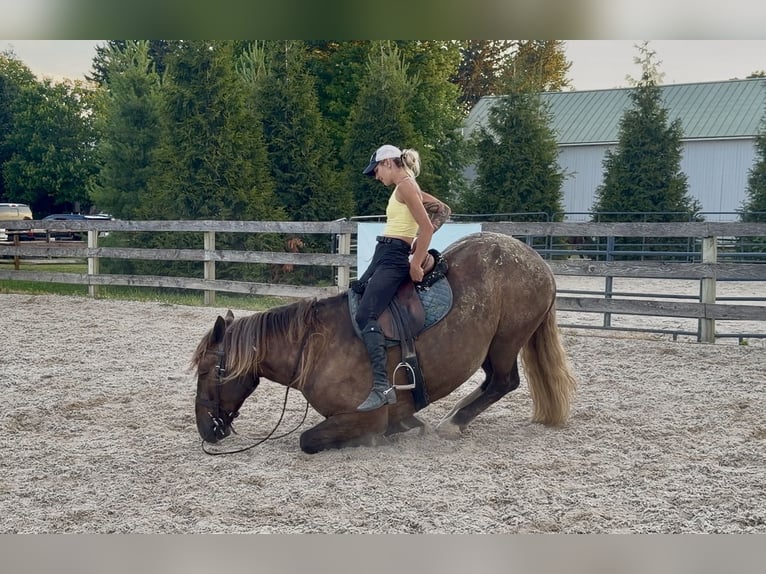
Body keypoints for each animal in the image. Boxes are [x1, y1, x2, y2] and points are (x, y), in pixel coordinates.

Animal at [192, 231, 577, 454]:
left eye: (209, 370)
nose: (205, 429)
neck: (314, 348)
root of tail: (537, 261)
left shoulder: (363, 417)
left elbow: (308, 440)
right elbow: (407, 421)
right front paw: (411, 427)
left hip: (505, 341)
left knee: (503, 382)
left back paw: (454, 422)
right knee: (492, 382)